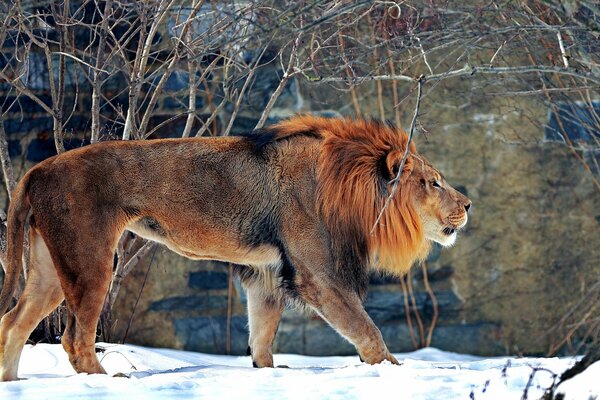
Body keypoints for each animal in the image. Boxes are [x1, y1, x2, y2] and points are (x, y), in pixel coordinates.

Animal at [0, 114, 472, 380]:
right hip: (92, 260)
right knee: (74, 339)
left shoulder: (266, 273)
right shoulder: (318, 277)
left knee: (13, 323)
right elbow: (367, 331)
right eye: (433, 183)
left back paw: (15, 383)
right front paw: (395, 372)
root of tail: (36, 170)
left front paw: (267, 373)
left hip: (50, 267)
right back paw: (108, 381)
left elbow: (262, 334)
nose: (468, 205)